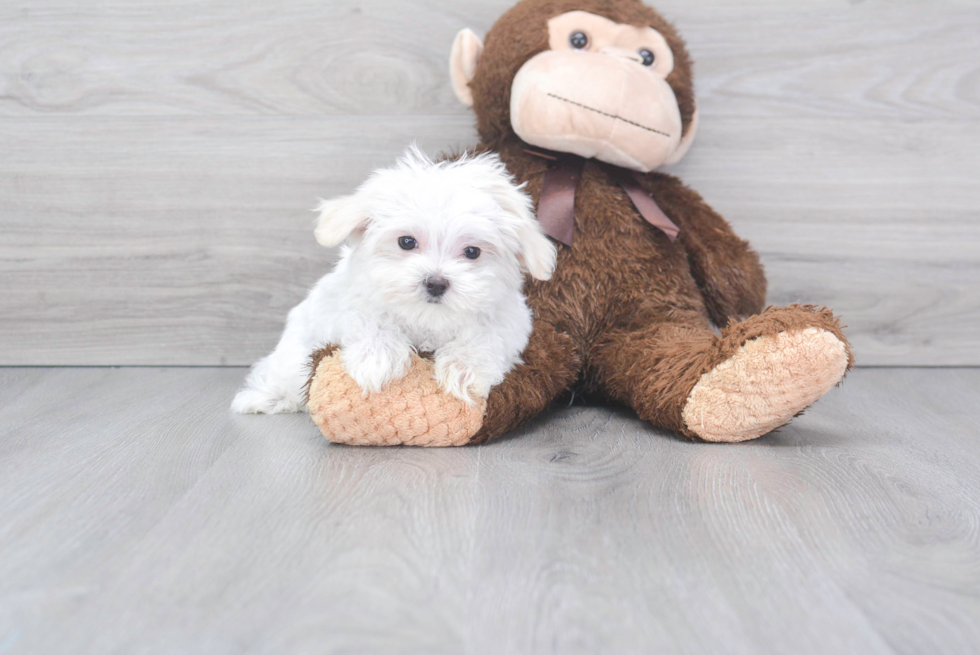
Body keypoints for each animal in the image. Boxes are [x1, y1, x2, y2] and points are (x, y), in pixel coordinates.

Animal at [226, 148, 556, 416]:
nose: (436, 283)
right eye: (406, 242)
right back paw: (265, 398)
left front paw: (465, 369)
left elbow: (486, 337)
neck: (426, 320)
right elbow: (368, 320)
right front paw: (376, 358)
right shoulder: (343, 304)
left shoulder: (510, 322)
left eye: (472, 251)